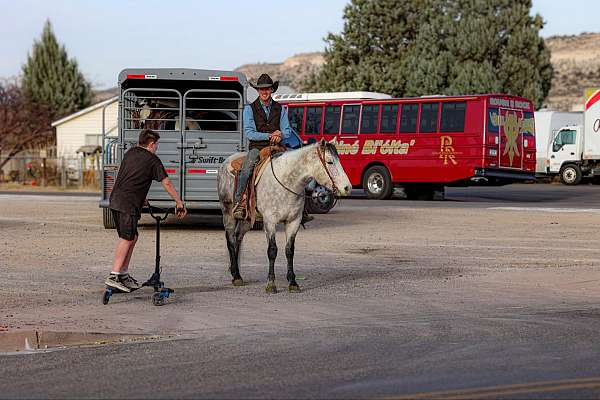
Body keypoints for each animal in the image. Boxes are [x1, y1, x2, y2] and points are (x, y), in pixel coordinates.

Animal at [218, 141, 352, 294]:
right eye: (329, 161)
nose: (347, 187)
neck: (287, 182)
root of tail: (226, 162)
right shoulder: (270, 221)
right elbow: (272, 250)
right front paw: (271, 284)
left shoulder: (294, 221)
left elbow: (289, 250)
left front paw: (293, 282)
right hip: (227, 212)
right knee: (230, 240)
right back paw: (236, 277)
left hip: (247, 219)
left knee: (238, 238)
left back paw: (237, 273)